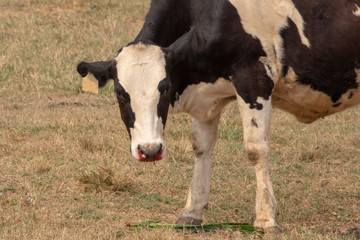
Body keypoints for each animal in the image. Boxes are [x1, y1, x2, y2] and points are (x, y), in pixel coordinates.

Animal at [76, 0, 360, 232]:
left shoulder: (254, 80)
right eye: (120, 93)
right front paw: (192, 211)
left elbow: (256, 149)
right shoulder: (204, 95)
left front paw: (266, 217)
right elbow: (201, 147)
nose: (149, 150)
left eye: (164, 87)